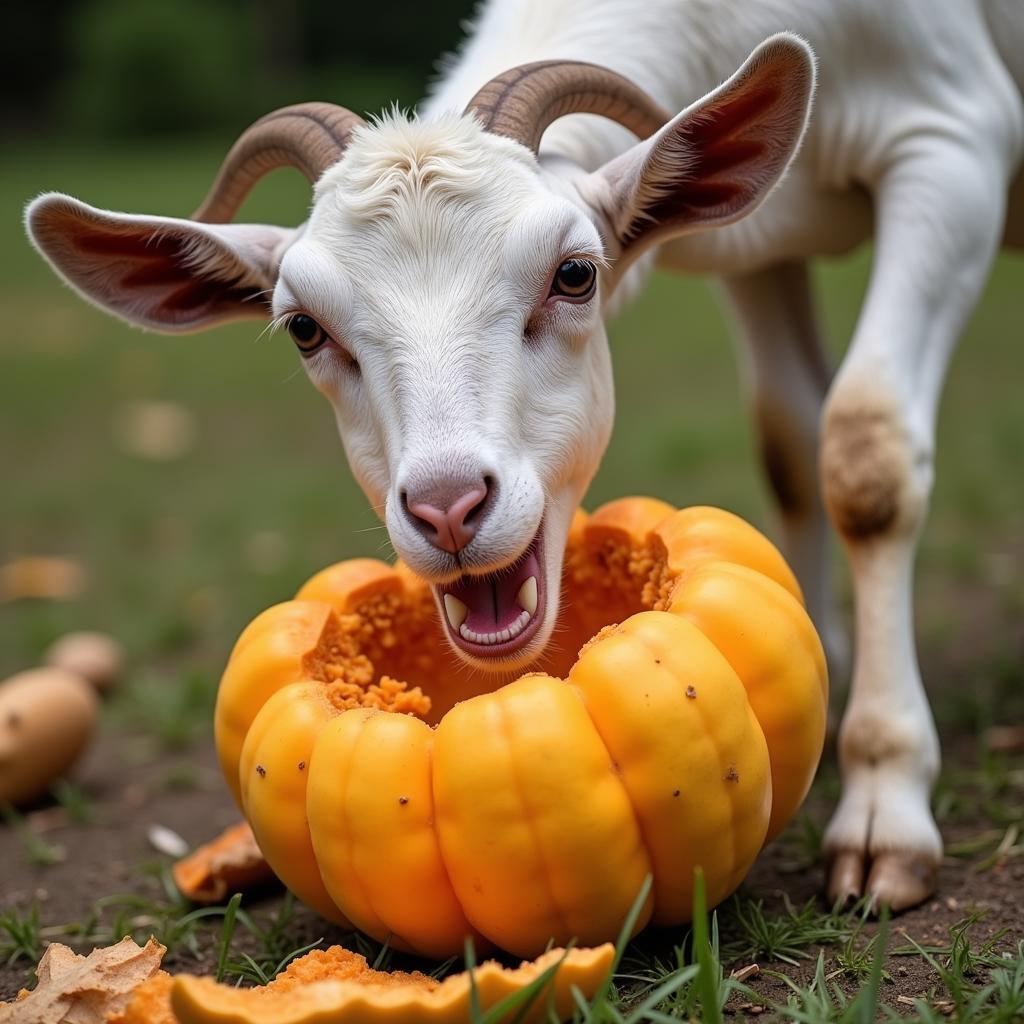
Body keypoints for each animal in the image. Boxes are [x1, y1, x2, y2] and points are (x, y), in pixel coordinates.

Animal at [24, 0, 1024, 913]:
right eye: (305, 328)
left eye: (574, 274)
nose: (447, 507)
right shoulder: (756, 252)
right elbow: (786, 436)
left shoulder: (951, 146)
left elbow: (864, 450)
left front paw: (885, 812)